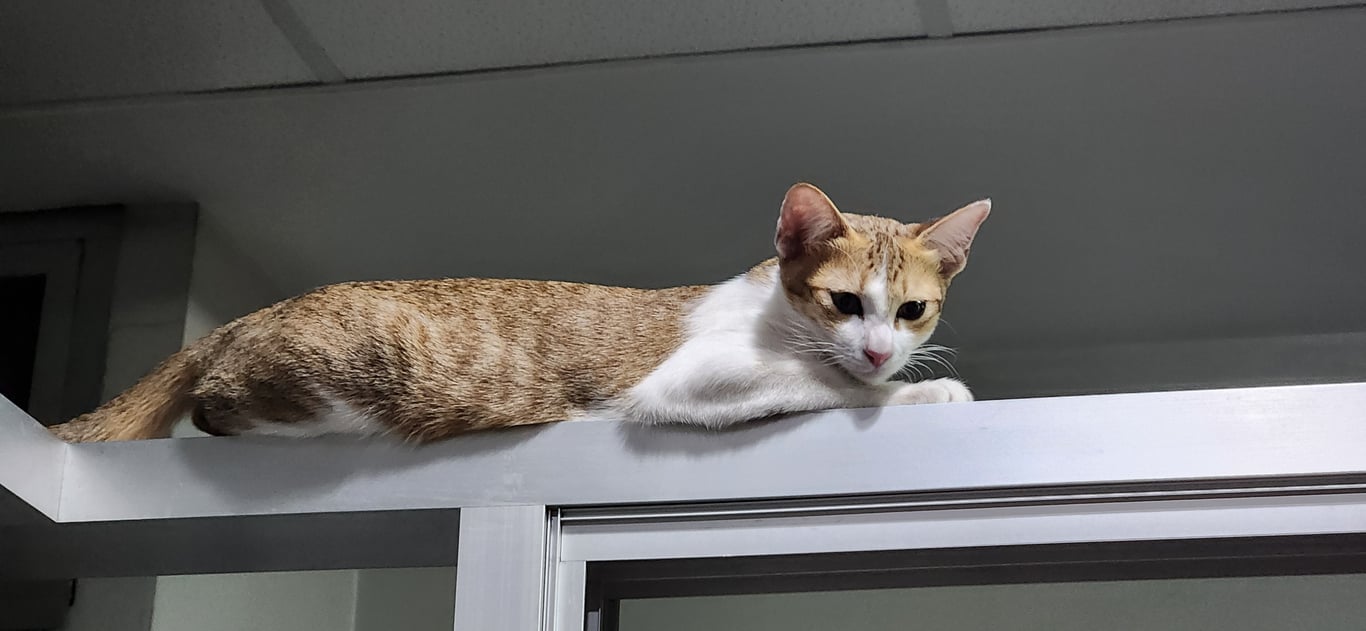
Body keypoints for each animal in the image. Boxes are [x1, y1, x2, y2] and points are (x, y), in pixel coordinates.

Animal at [49, 183, 990, 443]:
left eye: (912, 309)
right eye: (843, 302)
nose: (881, 352)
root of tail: (258, 310)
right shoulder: (695, 377)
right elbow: (819, 381)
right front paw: (917, 393)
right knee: (216, 405)